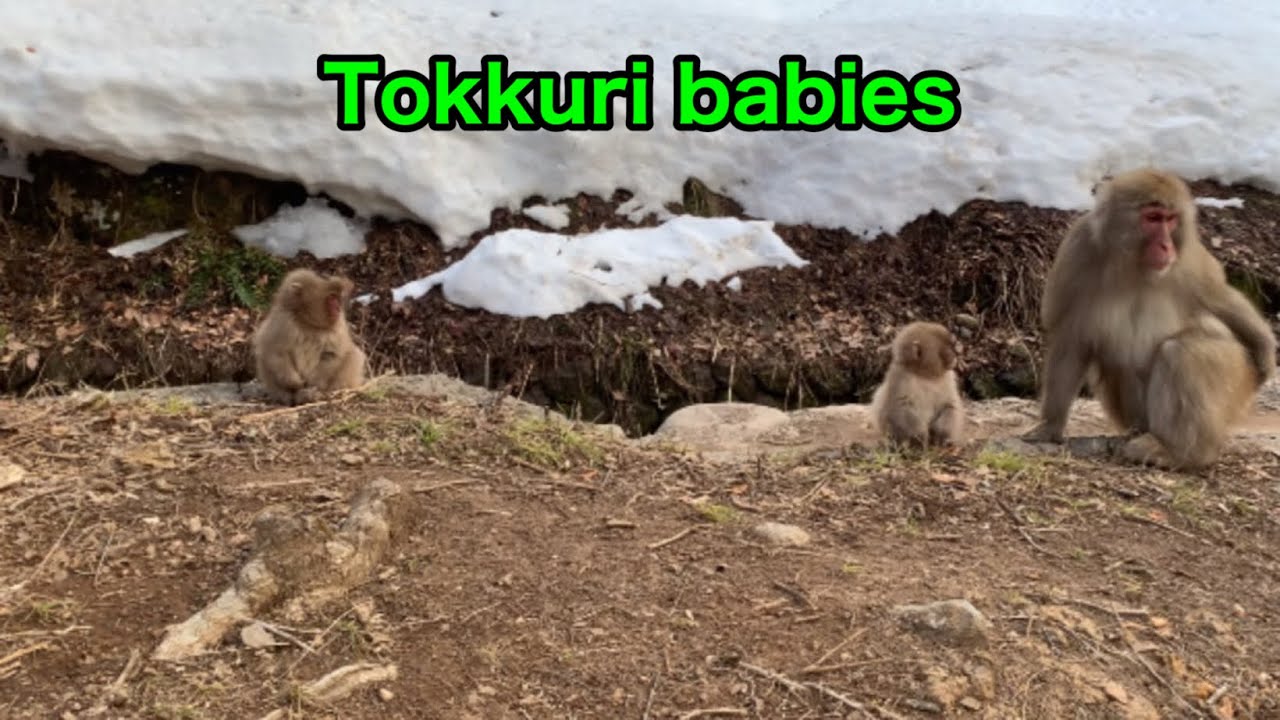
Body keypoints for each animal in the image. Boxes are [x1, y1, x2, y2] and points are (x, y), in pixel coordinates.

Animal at [252, 268, 367, 406]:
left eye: (337, 298)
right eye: (332, 298)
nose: (338, 308)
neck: (307, 322)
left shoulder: (338, 325)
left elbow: (331, 354)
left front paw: (313, 383)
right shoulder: (282, 321)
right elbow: (275, 352)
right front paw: (293, 381)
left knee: (353, 355)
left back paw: (318, 393)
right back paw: (289, 396)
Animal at [1021, 167, 1276, 470]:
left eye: (1171, 219)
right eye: (1153, 218)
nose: (1166, 246)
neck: (1134, 266)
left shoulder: (1189, 261)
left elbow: (1220, 299)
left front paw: (1264, 350)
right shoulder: (1077, 254)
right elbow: (1071, 341)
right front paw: (1049, 426)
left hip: (1234, 384)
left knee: (1181, 349)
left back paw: (1177, 451)